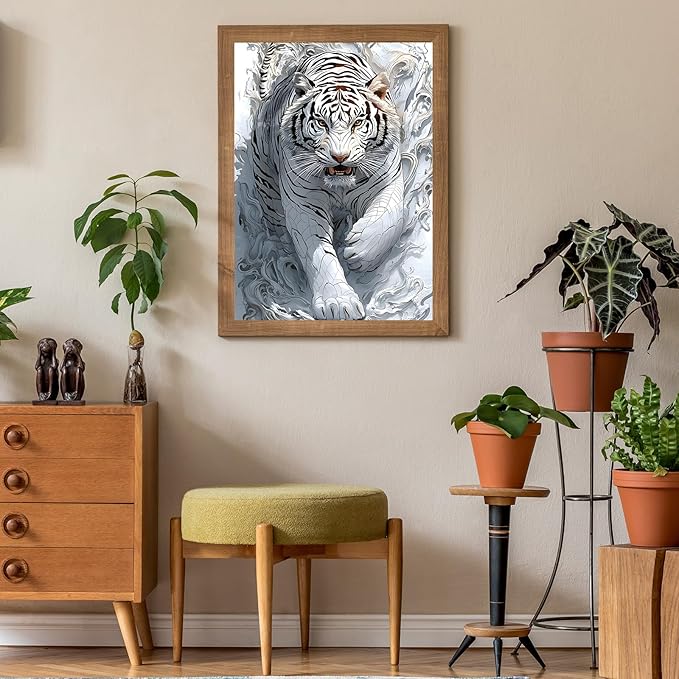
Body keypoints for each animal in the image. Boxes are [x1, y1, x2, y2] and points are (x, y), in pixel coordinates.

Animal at [250, 48, 405, 320]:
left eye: (357, 123)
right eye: (321, 123)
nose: (339, 156)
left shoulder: (388, 181)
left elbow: (390, 217)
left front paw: (360, 251)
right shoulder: (303, 203)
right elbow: (317, 253)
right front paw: (339, 305)